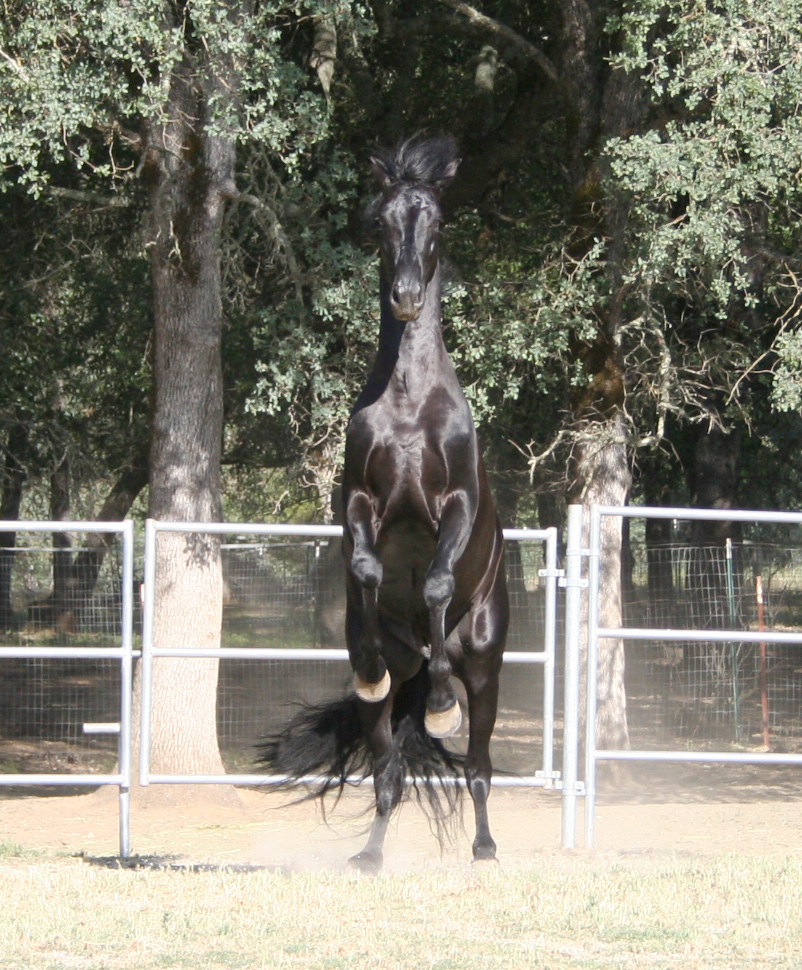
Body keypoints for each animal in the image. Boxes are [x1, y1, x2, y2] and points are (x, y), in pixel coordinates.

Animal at [256, 136, 506, 868]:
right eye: (380, 222)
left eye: (436, 219)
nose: (405, 297)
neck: (408, 401)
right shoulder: (362, 501)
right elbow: (367, 569)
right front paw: (365, 666)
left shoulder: (456, 504)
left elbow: (438, 582)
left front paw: (443, 705)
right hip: (395, 691)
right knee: (388, 768)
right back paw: (369, 856)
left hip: (487, 667)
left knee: (479, 766)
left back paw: (485, 846)